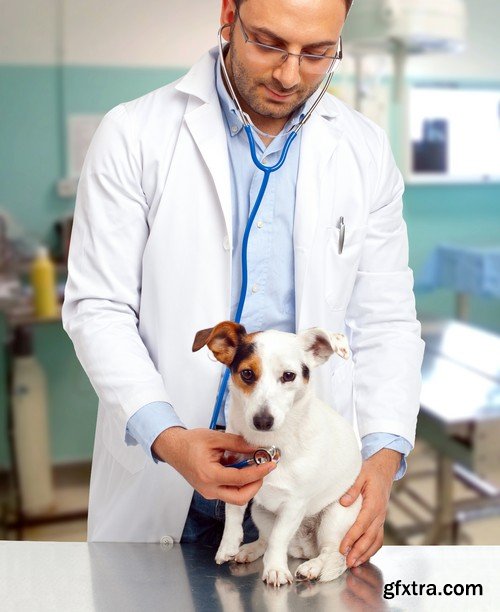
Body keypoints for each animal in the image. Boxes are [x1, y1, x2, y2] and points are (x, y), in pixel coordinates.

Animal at [193, 322, 362, 584]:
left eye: (289, 376)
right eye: (247, 374)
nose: (263, 420)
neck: (268, 444)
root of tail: (304, 547)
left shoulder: (294, 504)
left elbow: (278, 539)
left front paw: (275, 569)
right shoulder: (236, 484)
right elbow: (233, 515)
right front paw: (228, 545)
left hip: (336, 516)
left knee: (332, 553)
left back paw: (313, 566)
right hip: (260, 512)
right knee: (264, 538)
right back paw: (250, 549)